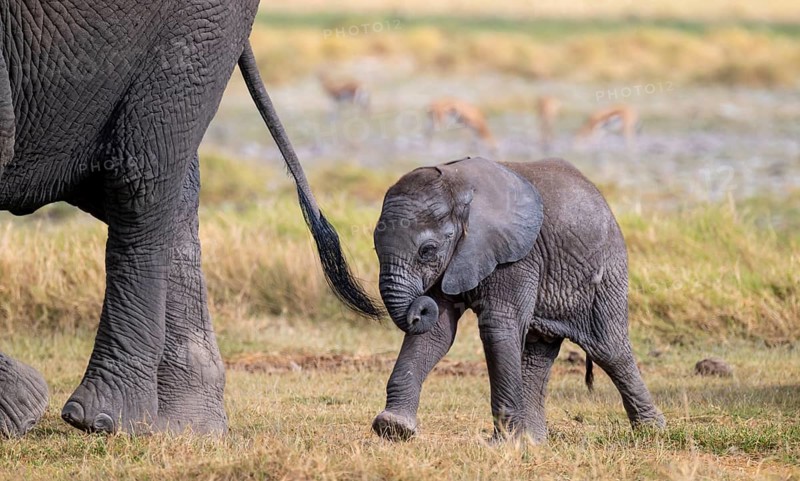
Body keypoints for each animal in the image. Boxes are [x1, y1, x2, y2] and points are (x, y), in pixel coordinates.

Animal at [371, 156, 665, 442]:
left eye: (427, 251)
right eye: (375, 248)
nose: (417, 309)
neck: (459, 188)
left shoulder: (518, 256)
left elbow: (498, 326)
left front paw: (504, 443)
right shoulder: (456, 259)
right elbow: (437, 333)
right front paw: (393, 428)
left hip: (607, 271)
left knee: (610, 349)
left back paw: (652, 431)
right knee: (538, 355)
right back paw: (534, 441)